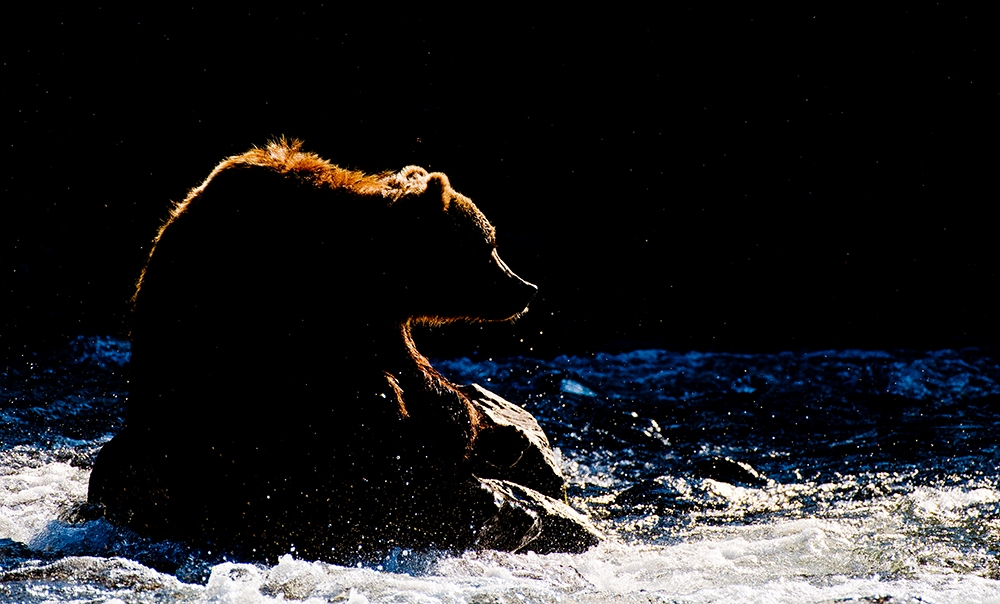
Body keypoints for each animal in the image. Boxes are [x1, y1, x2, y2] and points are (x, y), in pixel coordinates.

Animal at [88, 139, 599, 563]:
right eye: (488, 244)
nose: (526, 288)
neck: (364, 262)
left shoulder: (374, 314)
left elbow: (415, 370)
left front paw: (502, 435)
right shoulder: (297, 304)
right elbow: (387, 387)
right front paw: (473, 437)